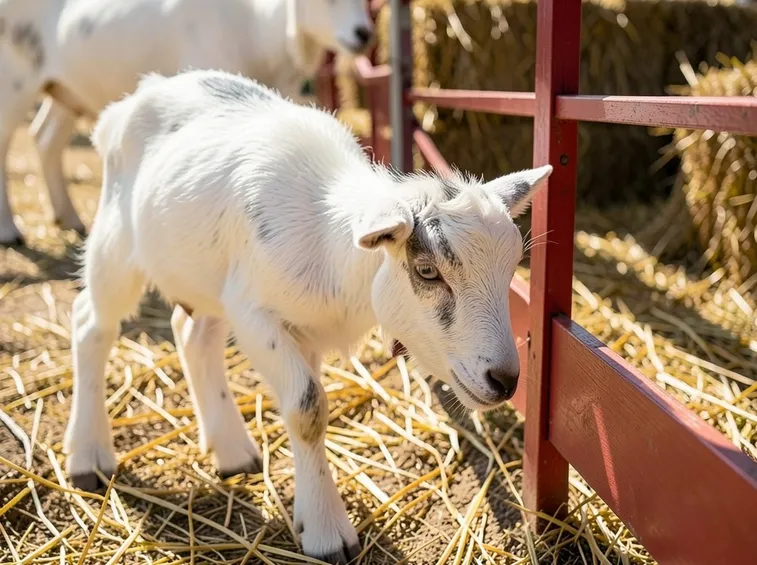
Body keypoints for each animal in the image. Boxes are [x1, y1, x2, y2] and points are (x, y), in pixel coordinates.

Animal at [0, 0, 373, 246]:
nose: (364, 34)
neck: (257, 25)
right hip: (15, 78)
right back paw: (10, 231)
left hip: (68, 88)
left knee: (46, 137)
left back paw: (69, 217)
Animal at [65, 68, 552, 564]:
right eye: (427, 271)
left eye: (512, 269)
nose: (505, 380)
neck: (333, 244)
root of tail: (145, 91)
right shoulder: (254, 314)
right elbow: (307, 408)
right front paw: (327, 531)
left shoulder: (300, 326)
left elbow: (309, 407)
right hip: (117, 243)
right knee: (91, 323)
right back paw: (88, 457)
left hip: (208, 274)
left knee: (192, 333)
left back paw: (231, 450)